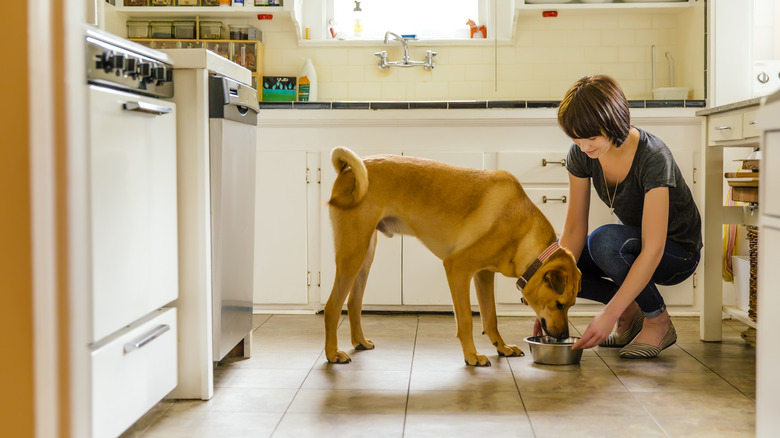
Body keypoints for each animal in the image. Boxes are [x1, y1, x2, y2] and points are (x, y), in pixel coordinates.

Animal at [322, 147, 580, 366]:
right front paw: (472, 356)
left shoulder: (483, 275)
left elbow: (490, 317)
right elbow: (465, 320)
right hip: (352, 254)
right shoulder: (457, 269)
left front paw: (502, 347)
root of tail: (348, 169)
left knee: (353, 303)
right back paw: (333, 353)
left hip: (365, 255)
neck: (521, 230)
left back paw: (359, 341)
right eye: (559, 304)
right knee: (332, 306)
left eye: (571, 305)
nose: (563, 336)